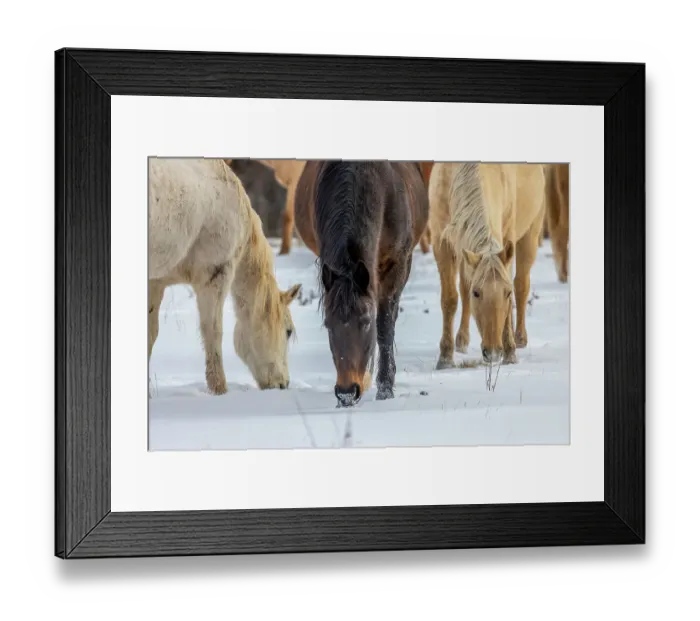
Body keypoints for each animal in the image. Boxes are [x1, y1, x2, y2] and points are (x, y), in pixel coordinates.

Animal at [148, 157, 302, 395]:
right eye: (288, 332)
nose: (283, 384)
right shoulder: (215, 274)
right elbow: (213, 332)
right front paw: (220, 389)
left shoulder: (156, 282)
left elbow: (150, 334)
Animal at [294, 160, 430, 406]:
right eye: (328, 324)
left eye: (366, 322)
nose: (347, 393)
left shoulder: (397, 265)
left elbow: (385, 325)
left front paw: (385, 390)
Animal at [429, 162, 546, 369]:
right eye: (477, 293)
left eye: (506, 293)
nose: (492, 353)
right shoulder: (442, 242)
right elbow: (450, 299)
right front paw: (445, 357)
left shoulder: (507, 238)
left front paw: (510, 352)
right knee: (463, 289)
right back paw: (462, 340)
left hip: (531, 234)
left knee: (522, 285)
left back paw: (519, 338)